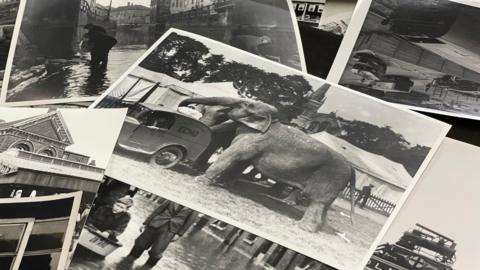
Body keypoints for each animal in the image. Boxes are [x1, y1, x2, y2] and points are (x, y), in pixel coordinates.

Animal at [180, 96, 356, 232]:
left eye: (246, 104)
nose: (183, 104)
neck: (273, 120)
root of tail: (352, 168)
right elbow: (241, 161)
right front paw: (222, 184)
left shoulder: (255, 139)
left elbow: (233, 154)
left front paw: (200, 180)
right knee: (323, 207)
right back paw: (321, 228)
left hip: (329, 179)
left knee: (317, 202)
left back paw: (301, 226)